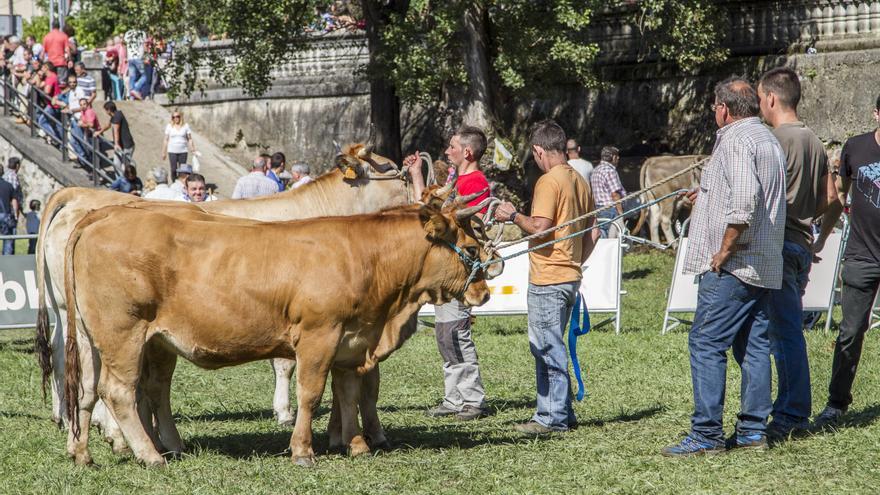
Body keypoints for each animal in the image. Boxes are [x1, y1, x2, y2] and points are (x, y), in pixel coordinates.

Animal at [32, 142, 408, 450]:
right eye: (393, 169)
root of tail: (82, 197)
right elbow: (308, 369)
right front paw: (302, 417)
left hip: (69, 311)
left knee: (67, 358)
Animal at [60, 187, 502, 468]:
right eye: (471, 247)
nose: (484, 292)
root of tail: (103, 215)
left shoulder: (351, 339)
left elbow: (348, 392)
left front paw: (356, 444)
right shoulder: (319, 335)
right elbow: (311, 393)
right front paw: (303, 450)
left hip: (106, 337)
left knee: (99, 390)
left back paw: (89, 453)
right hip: (123, 333)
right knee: (119, 392)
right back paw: (150, 456)